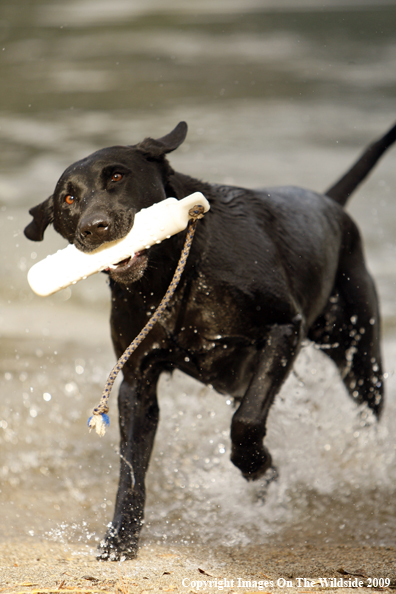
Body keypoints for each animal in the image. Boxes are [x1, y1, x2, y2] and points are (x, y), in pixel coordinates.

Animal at [24, 121, 396, 560]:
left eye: (116, 176)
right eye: (68, 198)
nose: (93, 228)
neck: (170, 274)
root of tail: (329, 201)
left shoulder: (284, 328)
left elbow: (247, 422)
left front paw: (256, 464)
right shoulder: (136, 383)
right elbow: (131, 470)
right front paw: (120, 539)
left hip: (358, 355)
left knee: (367, 414)